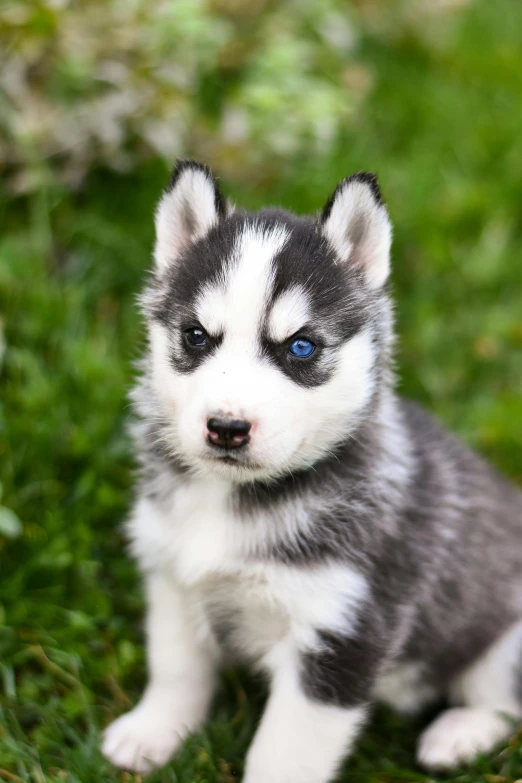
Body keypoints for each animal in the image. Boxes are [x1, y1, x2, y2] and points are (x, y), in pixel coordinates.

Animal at [101, 162, 520, 780]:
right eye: (196, 336)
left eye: (300, 347)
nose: (226, 427)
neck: (234, 499)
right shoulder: (173, 578)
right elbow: (176, 667)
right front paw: (153, 731)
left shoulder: (341, 632)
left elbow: (284, 751)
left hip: (505, 640)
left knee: (503, 703)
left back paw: (457, 735)